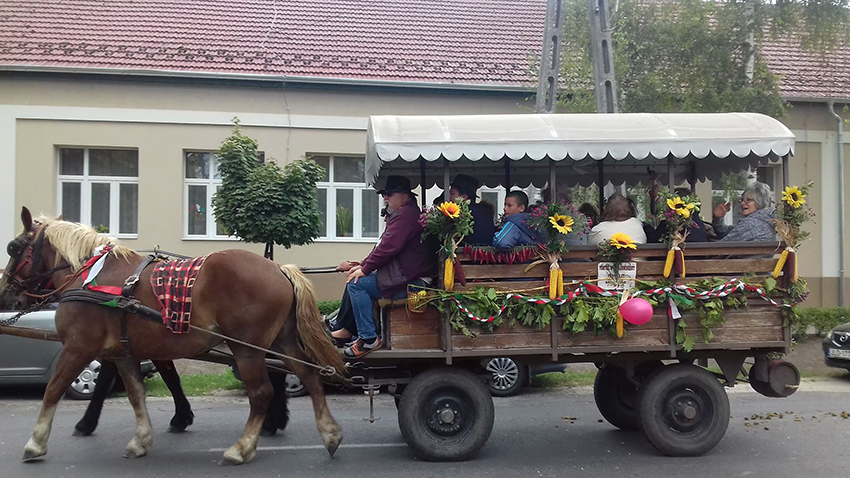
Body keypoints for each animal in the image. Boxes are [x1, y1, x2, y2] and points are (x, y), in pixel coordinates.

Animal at [0, 207, 344, 464]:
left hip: (247, 348)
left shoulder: (78, 347)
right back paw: (329, 433)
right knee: (309, 377)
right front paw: (141, 439)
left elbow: (53, 390)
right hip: (280, 341)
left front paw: (36, 442)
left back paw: (243, 447)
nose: (6, 296)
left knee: (261, 392)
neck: (90, 276)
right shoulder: (123, 352)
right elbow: (136, 394)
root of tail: (279, 268)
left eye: (13, 248)